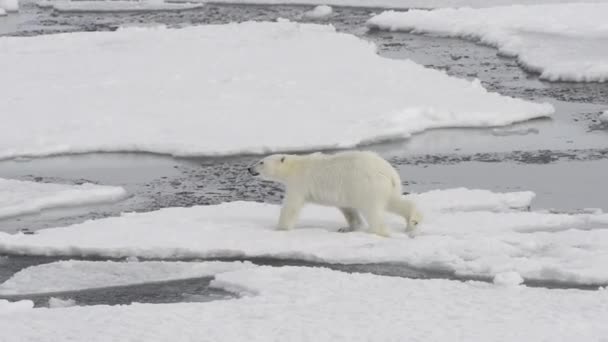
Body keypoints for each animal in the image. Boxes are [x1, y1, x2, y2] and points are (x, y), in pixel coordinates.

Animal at [247, 151, 422, 236]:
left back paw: (377, 231)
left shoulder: (299, 183)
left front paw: (279, 228)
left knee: (373, 210)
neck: (295, 167)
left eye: (261, 162)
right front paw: (347, 228)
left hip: (367, 186)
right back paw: (413, 221)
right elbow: (347, 209)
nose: (249, 168)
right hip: (385, 187)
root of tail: (389, 172)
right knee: (394, 202)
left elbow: (291, 206)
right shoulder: (345, 191)